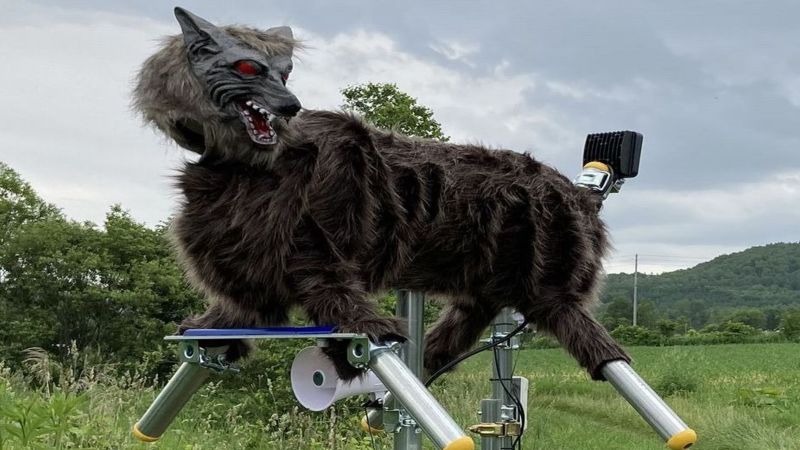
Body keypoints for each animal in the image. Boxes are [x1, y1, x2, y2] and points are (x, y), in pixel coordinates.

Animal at [133, 7, 630, 381]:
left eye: (286, 73)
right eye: (248, 67)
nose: (291, 106)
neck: (238, 169)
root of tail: (580, 195)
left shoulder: (318, 255)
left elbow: (340, 301)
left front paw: (360, 340)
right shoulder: (255, 270)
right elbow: (240, 311)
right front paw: (209, 326)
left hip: (551, 284)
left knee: (597, 342)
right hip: (486, 282)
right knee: (463, 321)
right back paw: (429, 355)